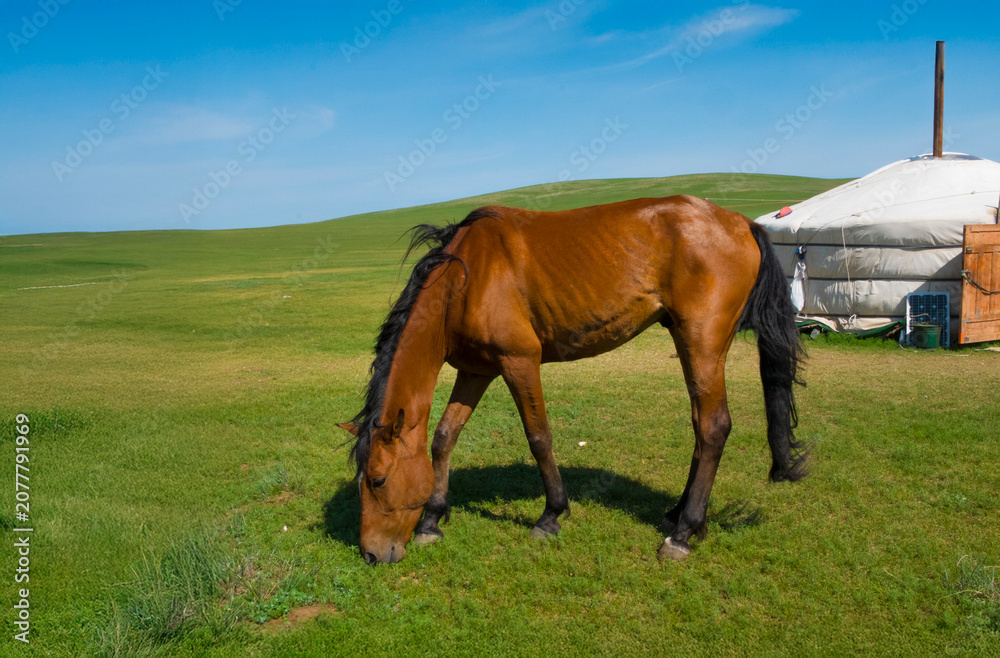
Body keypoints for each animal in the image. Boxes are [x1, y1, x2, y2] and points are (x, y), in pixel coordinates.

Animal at [338, 195, 807, 565]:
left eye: (378, 480)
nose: (370, 554)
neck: (466, 276)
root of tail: (741, 222)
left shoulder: (519, 362)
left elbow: (539, 437)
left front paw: (551, 515)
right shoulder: (477, 370)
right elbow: (443, 437)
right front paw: (433, 519)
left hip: (702, 343)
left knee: (713, 426)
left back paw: (683, 533)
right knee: (700, 425)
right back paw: (681, 515)